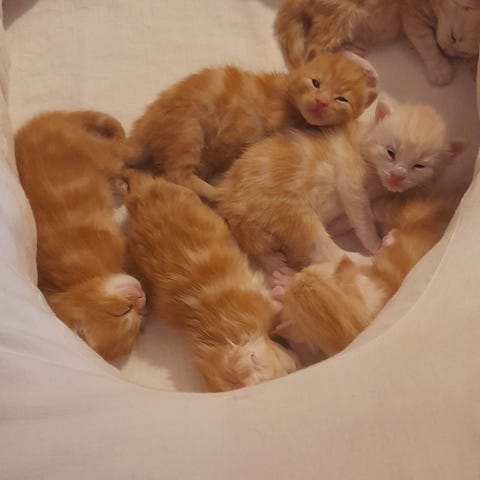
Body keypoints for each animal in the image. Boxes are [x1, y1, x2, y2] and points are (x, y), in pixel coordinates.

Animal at [15, 111, 145, 361]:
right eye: (128, 314)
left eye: (120, 312)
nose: (141, 298)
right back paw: (119, 184)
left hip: (99, 152)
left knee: (126, 148)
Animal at [128, 51, 379, 201]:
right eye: (316, 83)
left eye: (341, 99)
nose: (320, 102)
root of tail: (145, 126)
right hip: (187, 130)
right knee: (174, 174)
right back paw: (215, 192)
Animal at [216, 98, 464, 275]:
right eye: (390, 152)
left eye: (419, 166)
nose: (397, 176)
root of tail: (228, 196)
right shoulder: (348, 175)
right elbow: (361, 214)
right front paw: (374, 243)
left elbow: (354, 217)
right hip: (288, 210)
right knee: (327, 253)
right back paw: (369, 259)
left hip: (257, 226)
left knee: (257, 245)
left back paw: (273, 262)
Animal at [274, 0, 480, 85]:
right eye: (453, 36)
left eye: (462, 52)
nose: (446, 50)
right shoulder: (410, 14)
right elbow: (426, 42)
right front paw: (440, 69)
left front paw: (473, 65)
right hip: (344, 16)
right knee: (314, 53)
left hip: (359, 34)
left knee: (340, 53)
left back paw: (366, 70)